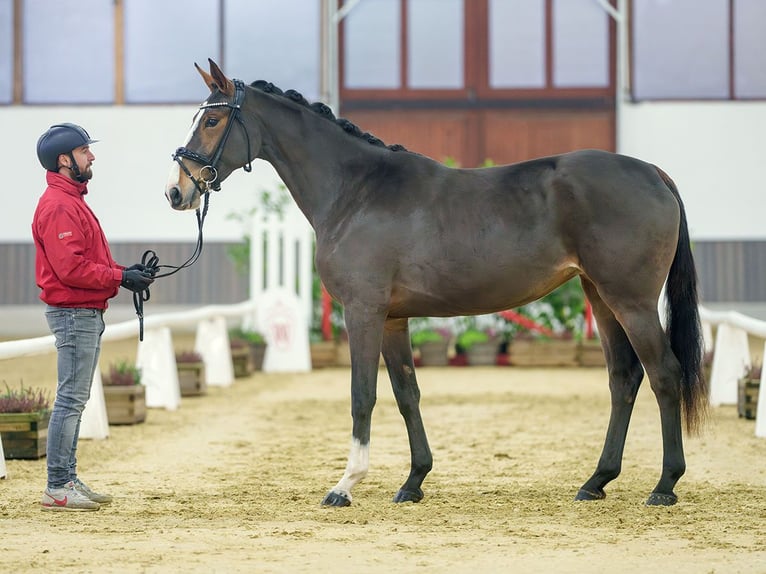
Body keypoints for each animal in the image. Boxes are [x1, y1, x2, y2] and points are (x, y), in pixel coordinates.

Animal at [166, 58, 708, 508]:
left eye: (212, 120)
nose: (177, 191)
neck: (356, 192)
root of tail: (652, 173)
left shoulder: (362, 312)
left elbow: (362, 394)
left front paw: (345, 485)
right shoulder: (393, 318)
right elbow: (407, 393)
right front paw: (413, 482)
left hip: (631, 301)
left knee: (664, 373)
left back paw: (664, 486)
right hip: (601, 298)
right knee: (624, 378)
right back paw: (596, 482)